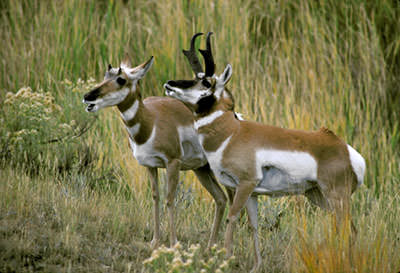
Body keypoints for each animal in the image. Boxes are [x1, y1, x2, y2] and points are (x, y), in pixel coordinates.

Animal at [81, 54, 228, 246]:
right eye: (106, 75)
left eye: (121, 79)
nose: (87, 97)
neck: (151, 122)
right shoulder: (150, 166)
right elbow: (155, 197)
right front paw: (155, 240)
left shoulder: (173, 163)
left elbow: (170, 199)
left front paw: (173, 243)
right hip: (201, 169)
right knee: (221, 198)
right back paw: (212, 245)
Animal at [164, 31, 368, 270]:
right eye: (194, 77)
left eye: (206, 81)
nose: (169, 84)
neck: (232, 133)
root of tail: (345, 149)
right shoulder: (252, 193)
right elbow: (253, 225)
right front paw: (255, 266)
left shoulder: (245, 184)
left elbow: (232, 217)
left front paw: (226, 258)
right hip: (319, 196)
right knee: (348, 229)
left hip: (336, 197)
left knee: (349, 231)